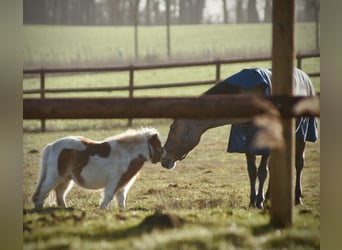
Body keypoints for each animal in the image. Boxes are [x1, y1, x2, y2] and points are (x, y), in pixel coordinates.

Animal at [162, 67, 316, 208]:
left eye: (173, 127)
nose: (163, 159)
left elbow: (262, 172)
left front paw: (259, 201)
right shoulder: (245, 142)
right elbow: (252, 171)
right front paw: (253, 201)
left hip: (301, 136)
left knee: (298, 164)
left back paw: (297, 198)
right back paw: (270, 198)